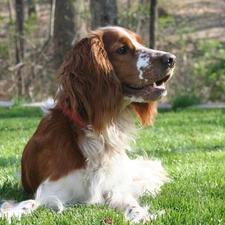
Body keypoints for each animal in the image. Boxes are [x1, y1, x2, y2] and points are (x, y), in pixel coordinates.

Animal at [0, 26, 176, 223]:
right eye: (122, 49)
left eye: (140, 43)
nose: (171, 58)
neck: (96, 131)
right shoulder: (50, 192)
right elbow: (28, 203)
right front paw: (10, 213)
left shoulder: (113, 189)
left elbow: (130, 202)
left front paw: (141, 215)